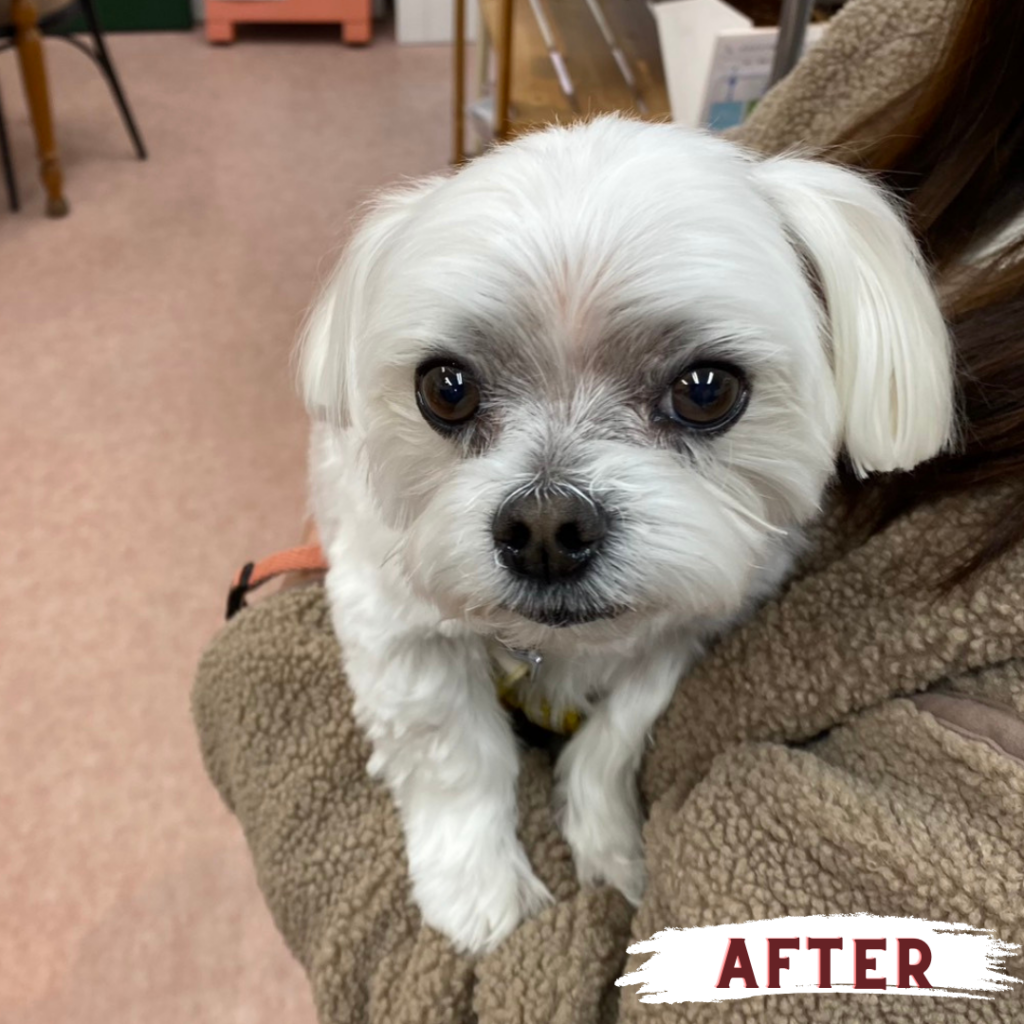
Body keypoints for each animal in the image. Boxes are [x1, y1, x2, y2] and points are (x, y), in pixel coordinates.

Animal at [299, 116, 954, 954]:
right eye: (445, 388)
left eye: (706, 390)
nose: (545, 526)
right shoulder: (392, 620)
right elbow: (452, 751)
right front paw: (476, 887)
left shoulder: (691, 623)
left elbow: (619, 729)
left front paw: (611, 847)